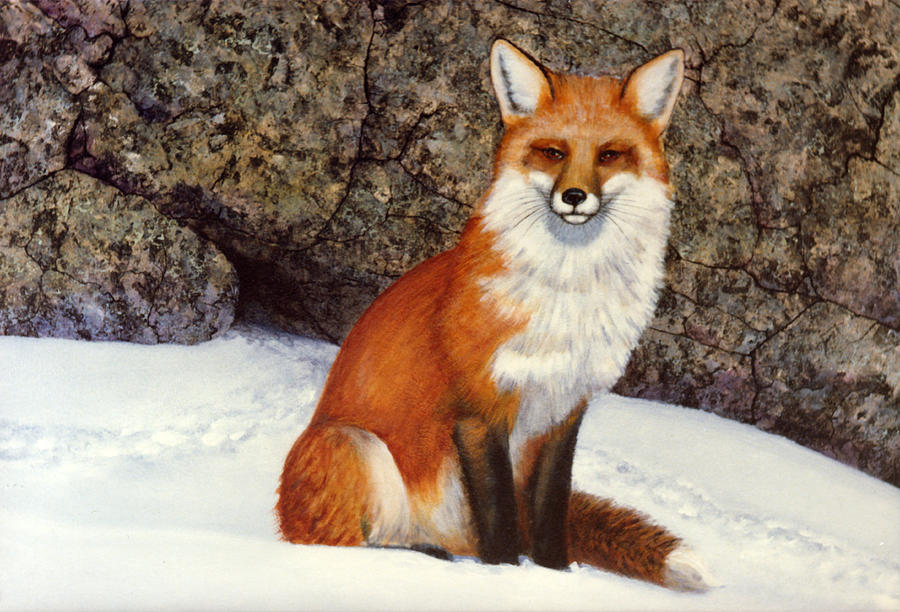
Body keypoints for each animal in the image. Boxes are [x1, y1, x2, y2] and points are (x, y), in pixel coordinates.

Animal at [277, 39, 713, 591]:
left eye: (610, 155)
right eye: (553, 152)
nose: (574, 197)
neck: (566, 298)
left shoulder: (563, 411)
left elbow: (549, 512)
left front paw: (556, 576)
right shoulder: (480, 411)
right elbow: (501, 517)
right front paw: (506, 577)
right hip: (352, 446)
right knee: (337, 545)